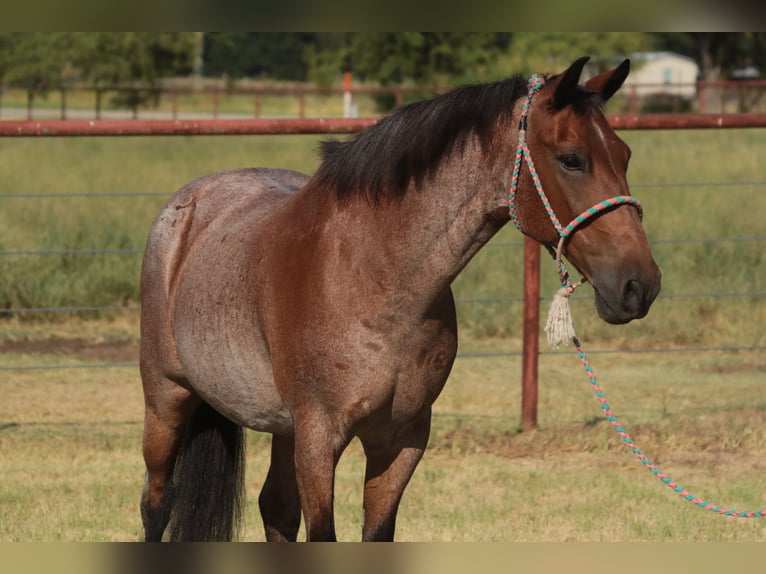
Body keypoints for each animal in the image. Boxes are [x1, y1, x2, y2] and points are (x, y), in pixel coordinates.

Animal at [139, 56, 662, 542]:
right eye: (572, 159)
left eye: (625, 154)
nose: (640, 285)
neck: (376, 281)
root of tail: (186, 206)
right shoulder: (319, 439)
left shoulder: (401, 439)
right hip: (167, 400)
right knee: (155, 504)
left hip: (282, 427)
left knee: (276, 509)